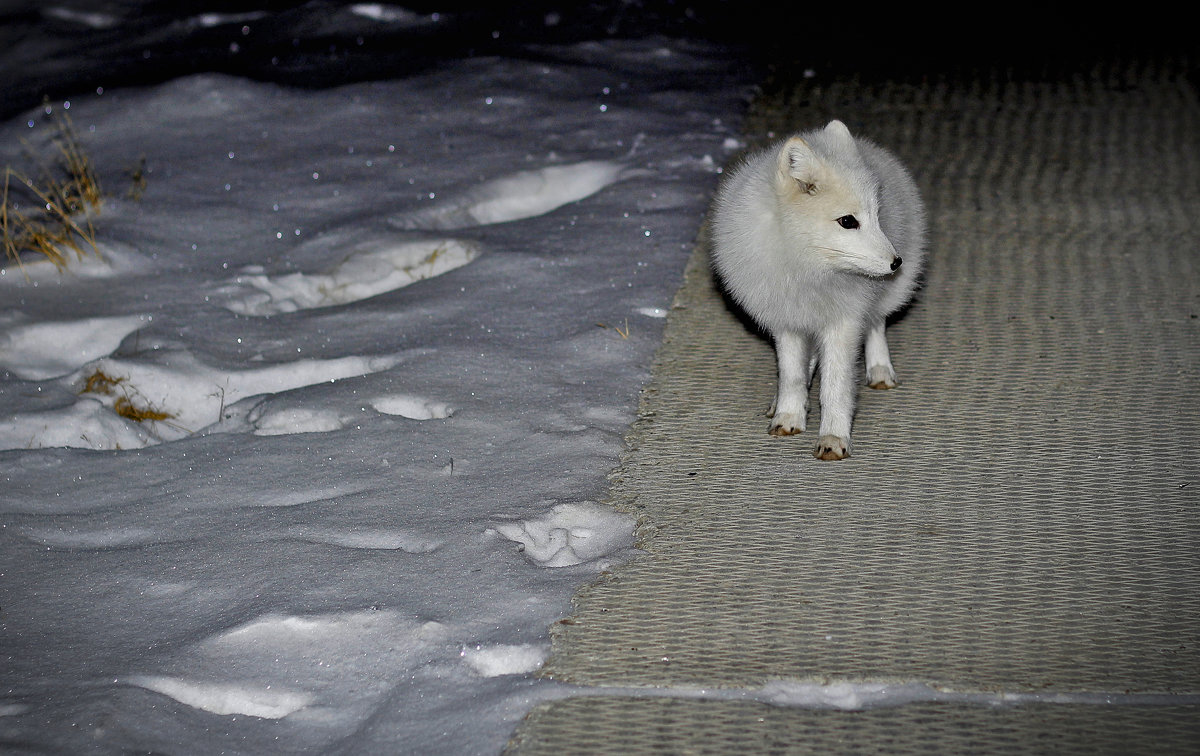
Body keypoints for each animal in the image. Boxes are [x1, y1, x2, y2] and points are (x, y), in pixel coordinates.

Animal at [710, 120, 926, 463]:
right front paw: (788, 415)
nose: (896, 262)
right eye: (847, 221)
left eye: (877, 216)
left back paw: (880, 371)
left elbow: (835, 387)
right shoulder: (785, 322)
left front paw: (833, 437)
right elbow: (792, 375)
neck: (806, 271)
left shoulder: (843, 323)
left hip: (884, 298)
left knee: (876, 325)